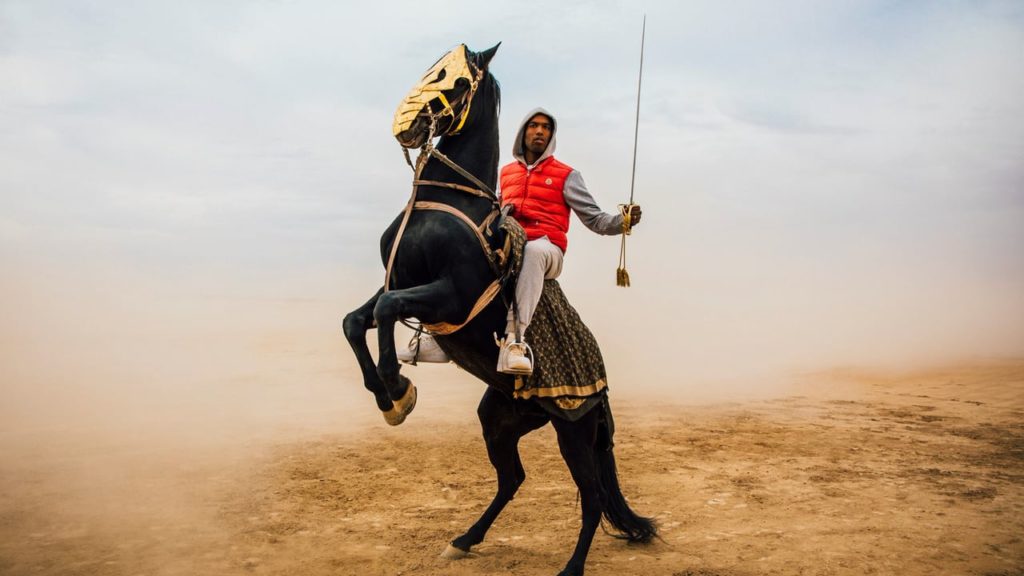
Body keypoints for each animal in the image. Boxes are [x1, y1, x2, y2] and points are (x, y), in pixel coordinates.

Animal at [339, 43, 651, 573]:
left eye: (458, 80)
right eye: (431, 66)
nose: (404, 124)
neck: (445, 206)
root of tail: (603, 389)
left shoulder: (449, 293)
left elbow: (384, 313)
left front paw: (397, 387)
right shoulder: (397, 280)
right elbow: (356, 319)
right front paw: (387, 396)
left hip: (574, 433)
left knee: (590, 497)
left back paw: (570, 566)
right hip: (501, 420)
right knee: (513, 479)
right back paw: (464, 539)